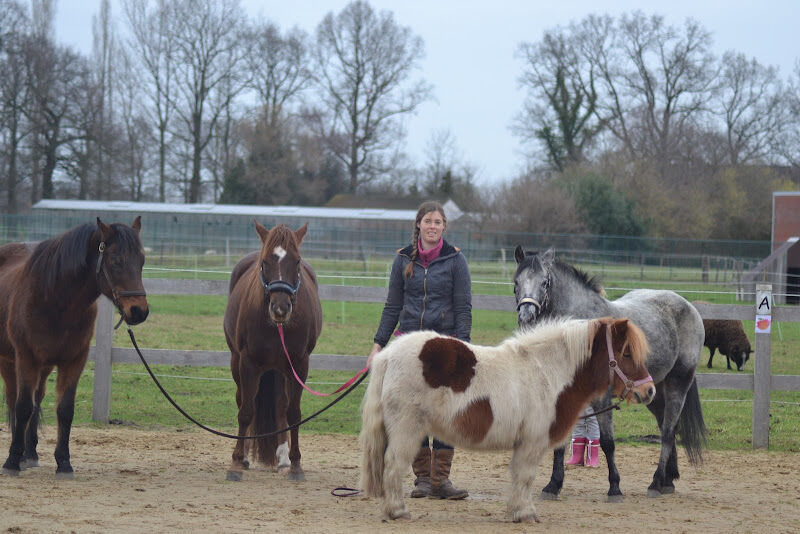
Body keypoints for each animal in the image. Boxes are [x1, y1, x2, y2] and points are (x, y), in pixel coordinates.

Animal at [0, 220, 148, 480]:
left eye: (141, 260)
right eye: (115, 260)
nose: (139, 311)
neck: (54, 299)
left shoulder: (74, 360)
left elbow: (64, 409)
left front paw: (63, 463)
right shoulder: (26, 357)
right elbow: (23, 406)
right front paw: (11, 462)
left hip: (44, 367)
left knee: (37, 400)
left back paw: (30, 454)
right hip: (10, 361)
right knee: (15, 399)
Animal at [222, 220, 322, 484]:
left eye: (296, 262)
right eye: (266, 262)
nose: (280, 308)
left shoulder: (299, 365)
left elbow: (293, 413)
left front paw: (296, 465)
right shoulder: (247, 363)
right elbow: (246, 411)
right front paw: (235, 463)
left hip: (281, 370)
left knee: (280, 407)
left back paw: (283, 459)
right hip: (238, 363)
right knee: (244, 401)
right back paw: (245, 457)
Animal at [360, 318, 652, 524]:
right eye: (626, 353)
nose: (649, 391)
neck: (547, 374)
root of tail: (388, 355)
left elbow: (519, 477)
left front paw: (516, 511)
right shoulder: (532, 443)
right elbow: (526, 477)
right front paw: (525, 513)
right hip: (407, 430)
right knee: (393, 466)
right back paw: (398, 511)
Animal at [512, 247, 708, 502]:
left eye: (545, 282)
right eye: (516, 282)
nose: (526, 316)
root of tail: (688, 306)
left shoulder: (602, 397)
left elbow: (607, 442)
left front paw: (614, 487)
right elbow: (560, 444)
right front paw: (553, 485)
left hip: (678, 383)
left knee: (667, 431)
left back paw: (655, 483)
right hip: (653, 392)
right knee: (669, 427)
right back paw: (668, 480)